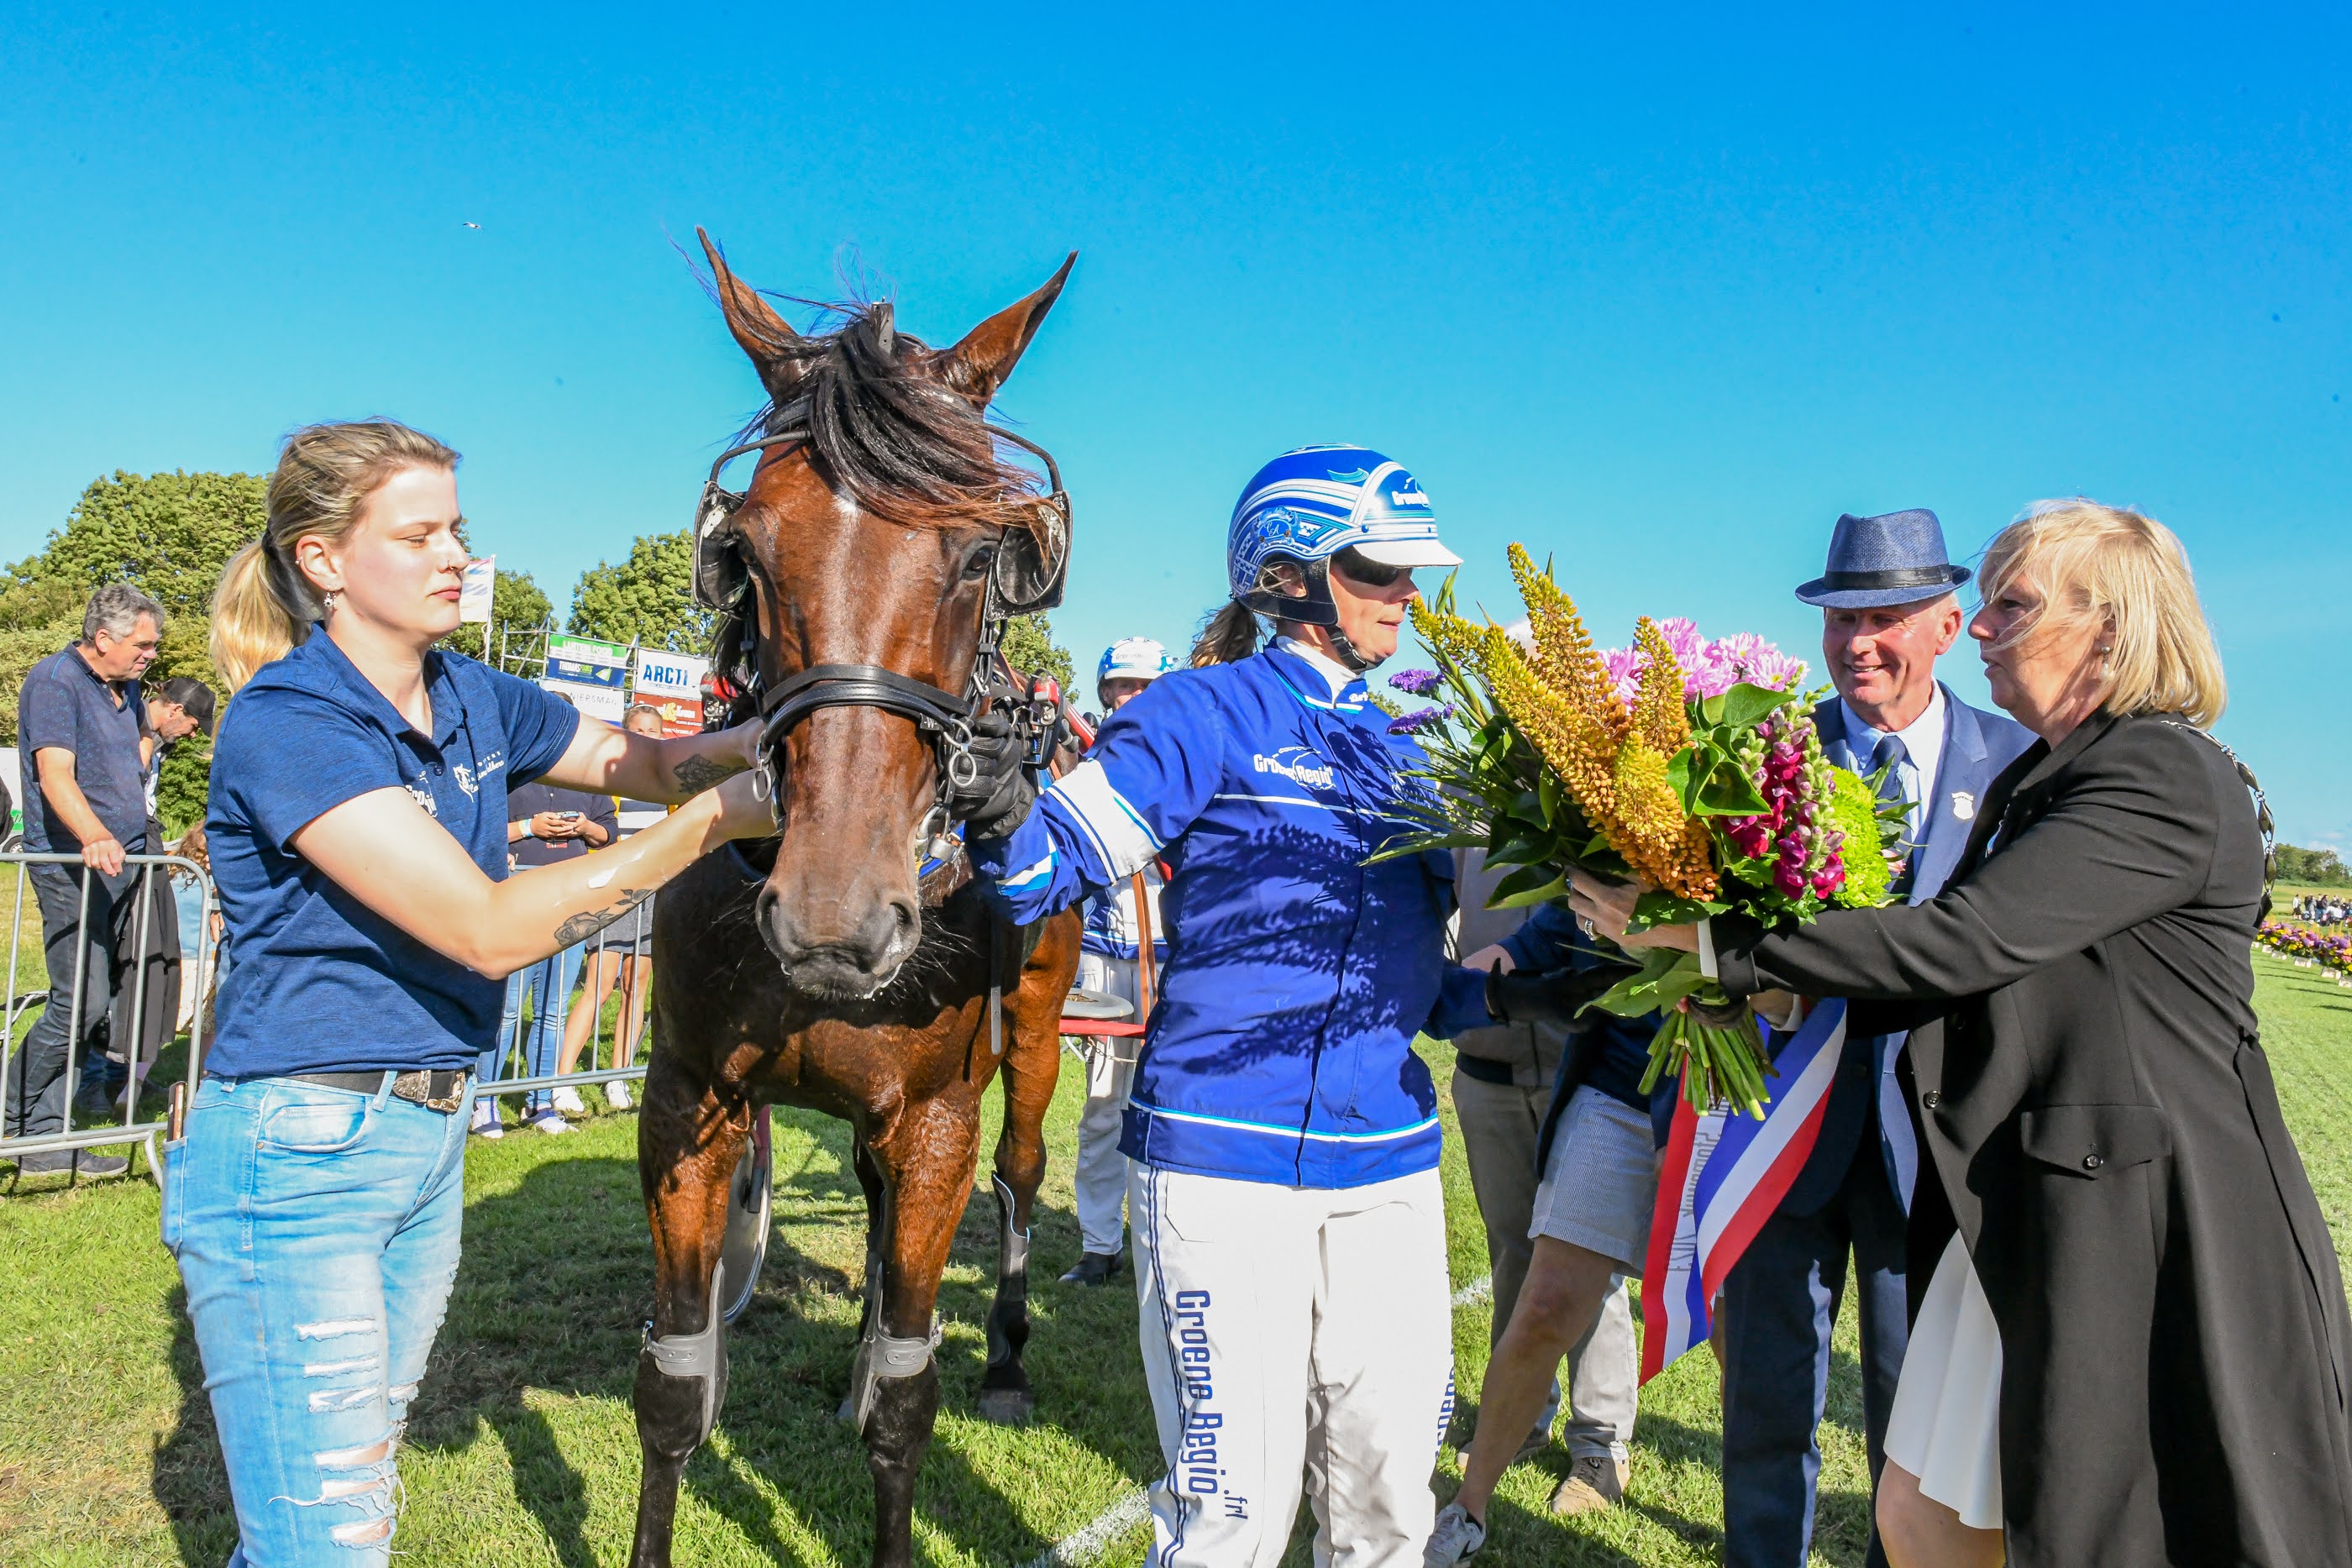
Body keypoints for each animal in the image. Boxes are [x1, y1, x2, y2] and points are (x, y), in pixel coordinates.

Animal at [635, 233, 1091, 1568]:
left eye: (984, 553)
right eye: (742, 549)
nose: (834, 917)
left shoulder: (937, 1114)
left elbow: (906, 1398)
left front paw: (912, 1377)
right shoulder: (689, 1102)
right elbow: (673, 1384)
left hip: (1035, 1037)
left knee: (1021, 1174)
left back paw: (1002, 1354)